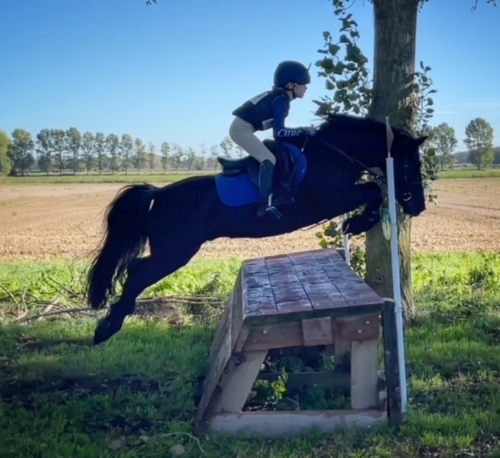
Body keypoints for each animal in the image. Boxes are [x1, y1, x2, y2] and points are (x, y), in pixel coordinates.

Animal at [85, 113, 426, 344]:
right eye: (411, 164)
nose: (418, 206)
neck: (334, 154)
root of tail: (158, 194)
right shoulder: (331, 199)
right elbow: (375, 191)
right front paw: (358, 221)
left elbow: (375, 191)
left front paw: (356, 222)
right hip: (176, 252)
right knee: (138, 272)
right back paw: (107, 328)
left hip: (173, 251)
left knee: (136, 269)